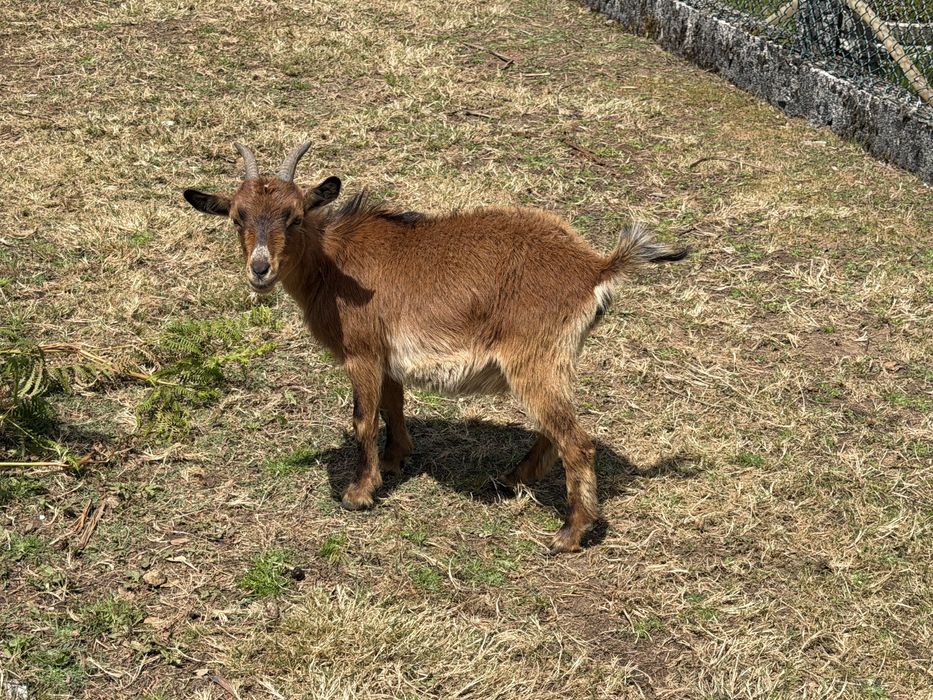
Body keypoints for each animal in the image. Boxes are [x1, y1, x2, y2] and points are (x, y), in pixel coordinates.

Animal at [183, 141, 688, 553]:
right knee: (556, 428)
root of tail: (595, 267)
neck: (333, 263)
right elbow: (394, 405)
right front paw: (395, 461)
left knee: (577, 441)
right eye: (237, 217)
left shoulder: (362, 352)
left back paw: (569, 533)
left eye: (294, 215)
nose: (260, 269)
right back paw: (512, 478)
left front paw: (359, 492)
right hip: (546, 364)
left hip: (536, 359)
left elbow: (364, 418)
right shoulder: (388, 359)